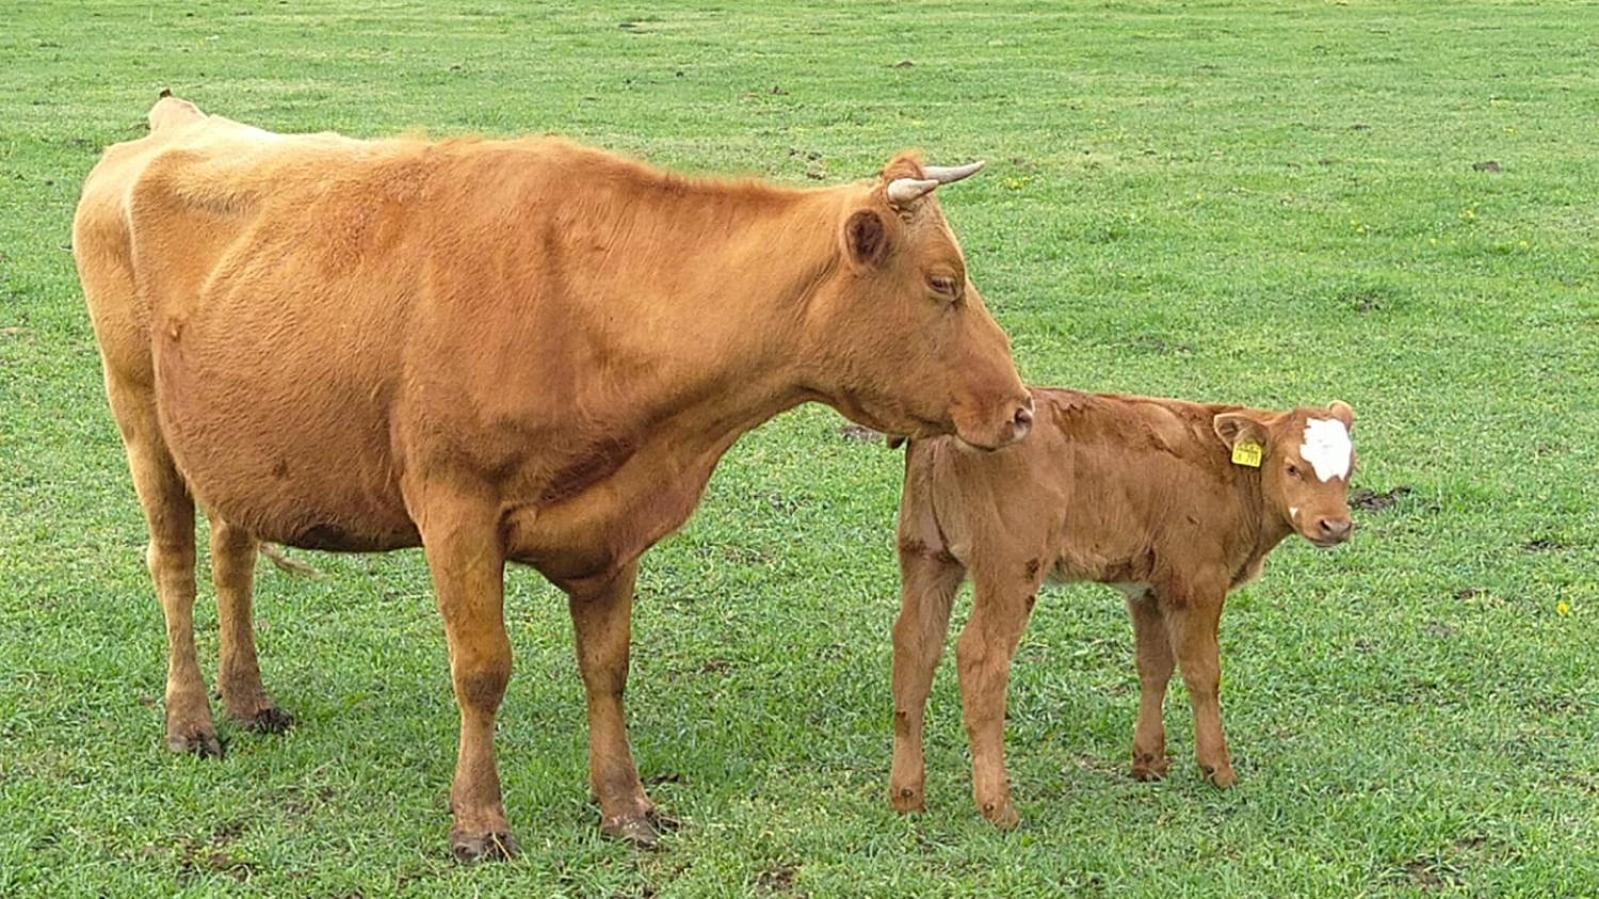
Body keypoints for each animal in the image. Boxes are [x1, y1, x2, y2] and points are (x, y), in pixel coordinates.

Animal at [882, 388, 1355, 825]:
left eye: (1350, 471)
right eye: (1292, 468)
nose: (1336, 525)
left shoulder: (1149, 588)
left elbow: (1154, 666)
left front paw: (1148, 761)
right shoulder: (1198, 581)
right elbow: (1203, 673)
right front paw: (1218, 769)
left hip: (926, 555)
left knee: (914, 646)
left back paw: (907, 795)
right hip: (1010, 569)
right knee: (981, 658)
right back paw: (998, 807)